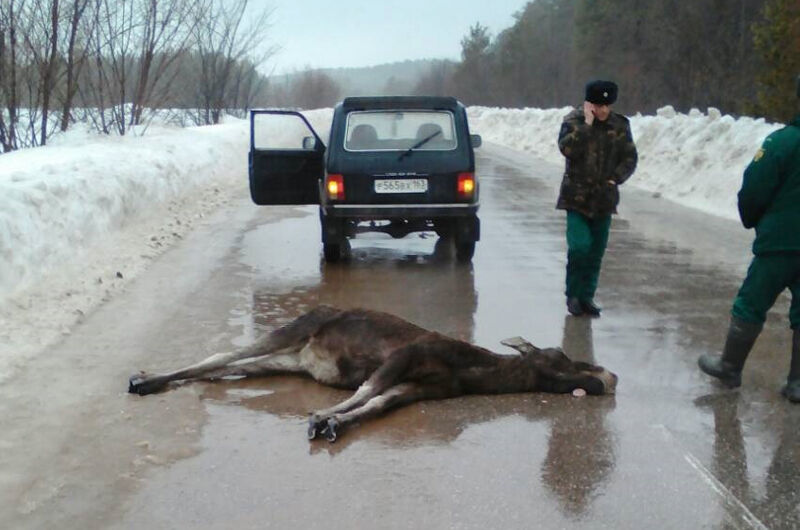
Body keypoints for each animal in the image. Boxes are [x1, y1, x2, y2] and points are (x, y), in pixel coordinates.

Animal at [131, 304, 620, 440]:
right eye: (559, 357)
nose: (608, 378)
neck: (471, 372)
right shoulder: (403, 358)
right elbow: (365, 391)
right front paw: (322, 417)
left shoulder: (417, 387)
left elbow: (377, 403)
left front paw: (333, 424)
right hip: (293, 330)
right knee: (221, 356)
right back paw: (145, 379)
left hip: (289, 360)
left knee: (231, 368)